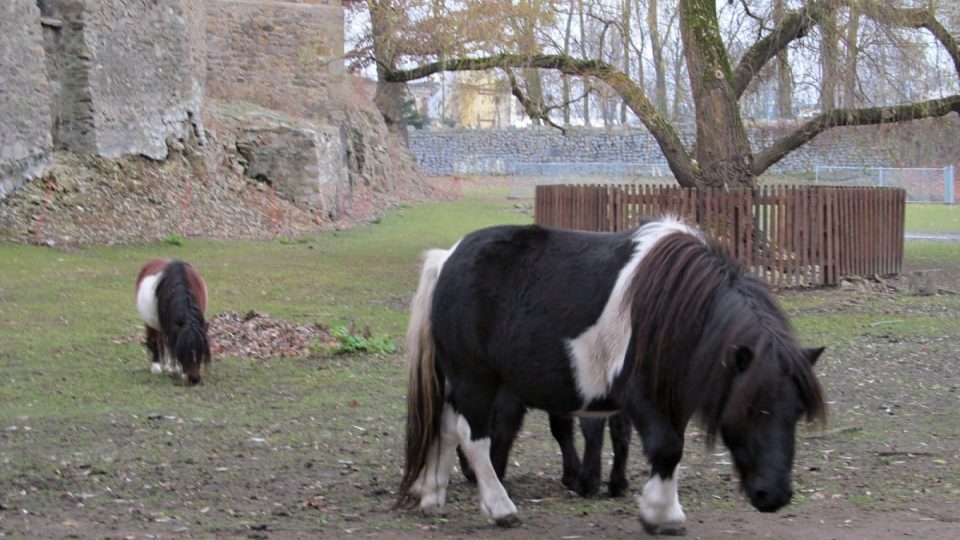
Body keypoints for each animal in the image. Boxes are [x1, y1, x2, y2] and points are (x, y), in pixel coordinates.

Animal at [398, 217, 824, 532]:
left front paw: (665, 509)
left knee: (444, 429)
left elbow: (669, 451)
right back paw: (501, 508)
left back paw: (432, 497)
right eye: (751, 409)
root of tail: (447, 258)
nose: (775, 496)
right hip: (476, 379)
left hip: (457, 380)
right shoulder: (641, 396)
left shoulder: (671, 395)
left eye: (797, 413)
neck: (675, 307)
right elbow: (667, 448)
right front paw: (658, 514)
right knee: (472, 438)